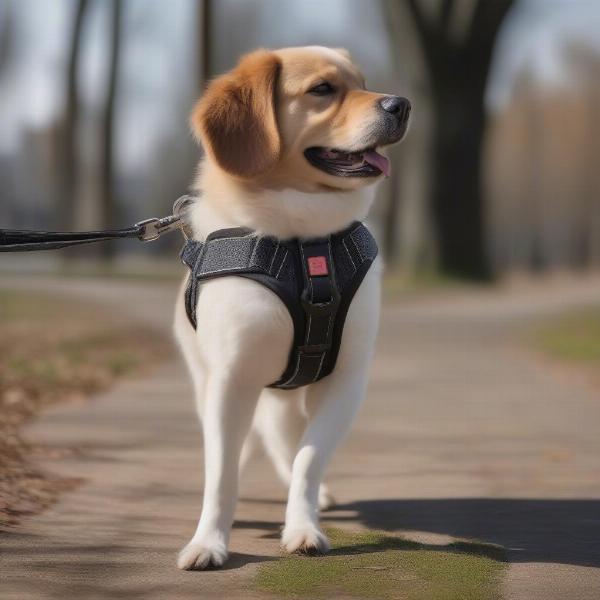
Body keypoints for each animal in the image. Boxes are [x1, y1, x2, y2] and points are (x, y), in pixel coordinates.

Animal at [171, 44, 410, 568]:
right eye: (323, 89)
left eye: (364, 84)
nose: (401, 104)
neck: (303, 244)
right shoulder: (231, 380)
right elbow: (222, 474)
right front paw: (209, 541)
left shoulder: (344, 380)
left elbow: (308, 458)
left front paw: (302, 527)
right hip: (209, 381)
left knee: (286, 442)